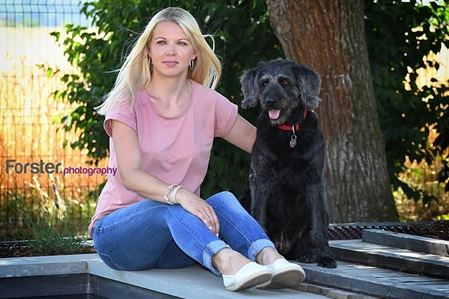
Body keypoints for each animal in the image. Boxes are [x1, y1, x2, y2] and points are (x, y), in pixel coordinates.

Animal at [240, 58, 334, 270]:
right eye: (264, 83)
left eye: (285, 82)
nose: (270, 101)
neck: (288, 132)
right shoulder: (260, 178)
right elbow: (258, 216)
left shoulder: (315, 180)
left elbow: (318, 222)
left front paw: (323, 255)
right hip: (244, 195)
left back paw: (308, 253)